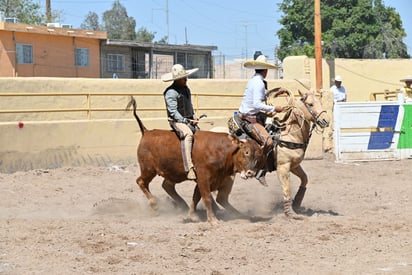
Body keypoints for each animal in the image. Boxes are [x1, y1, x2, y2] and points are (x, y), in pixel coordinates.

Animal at [127, 97, 266, 224]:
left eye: (259, 155)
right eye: (246, 152)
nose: (250, 173)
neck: (222, 151)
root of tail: (146, 132)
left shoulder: (206, 179)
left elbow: (196, 197)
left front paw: (192, 216)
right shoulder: (203, 177)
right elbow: (206, 197)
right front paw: (213, 220)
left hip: (170, 172)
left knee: (167, 185)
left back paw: (182, 206)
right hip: (148, 169)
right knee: (141, 182)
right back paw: (155, 205)